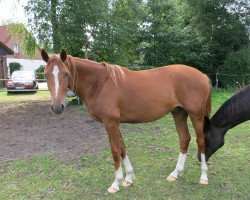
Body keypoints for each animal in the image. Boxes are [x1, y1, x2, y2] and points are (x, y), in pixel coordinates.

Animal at [42, 48, 212, 192]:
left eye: (66, 73)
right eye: (45, 75)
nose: (57, 107)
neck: (100, 84)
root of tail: (203, 75)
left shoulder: (110, 123)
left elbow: (115, 150)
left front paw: (116, 183)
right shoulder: (116, 123)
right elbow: (123, 148)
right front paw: (128, 178)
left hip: (196, 115)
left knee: (201, 140)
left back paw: (204, 176)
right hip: (179, 113)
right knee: (184, 139)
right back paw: (175, 173)